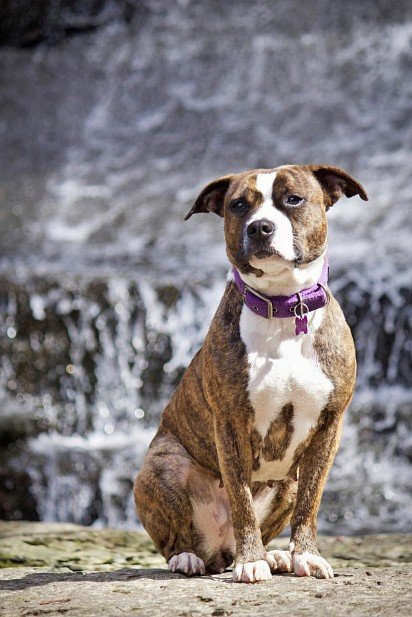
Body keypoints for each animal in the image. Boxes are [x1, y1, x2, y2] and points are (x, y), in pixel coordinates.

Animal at [134, 164, 366, 584]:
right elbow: (240, 498)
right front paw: (251, 561)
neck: (284, 307)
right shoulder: (229, 423)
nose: (260, 227)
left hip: (286, 484)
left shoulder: (329, 425)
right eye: (239, 205)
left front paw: (306, 556)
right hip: (164, 465)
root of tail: (219, 549)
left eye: (294, 199)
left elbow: (311, 503)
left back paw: (276, 555)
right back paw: (189, 558)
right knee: (178, 539)